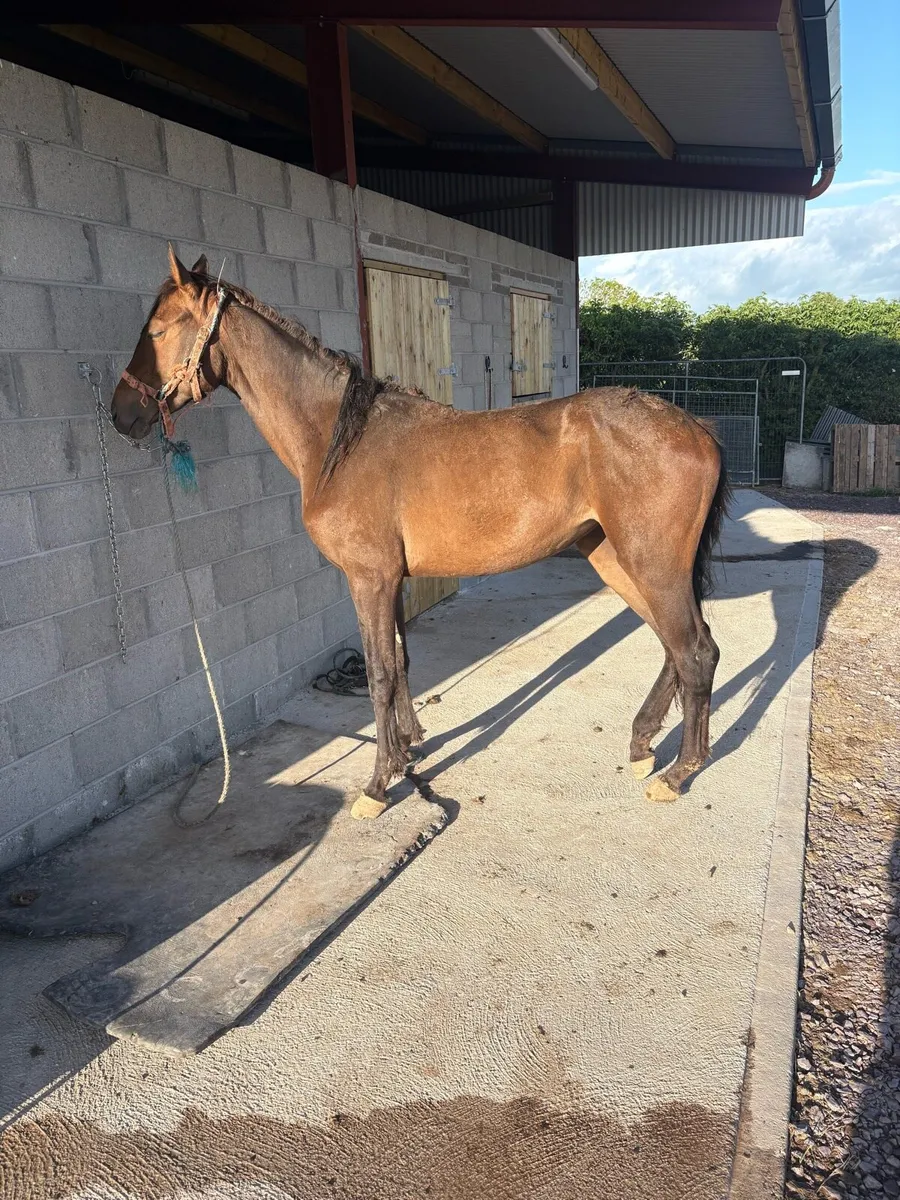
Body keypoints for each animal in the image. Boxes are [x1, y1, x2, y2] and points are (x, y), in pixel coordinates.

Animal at [111, 247, 728, 820]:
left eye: (158, 330)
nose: (122, 415)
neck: (339, 441)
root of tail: (696, 427)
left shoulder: (369, 578)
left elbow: (380, 674)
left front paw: (377, 785)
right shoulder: (392, 580)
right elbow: (402, 662)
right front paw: (408, 749)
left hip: (651, 563)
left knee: (695, 651)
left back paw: (677, 774)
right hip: (613, 558)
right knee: (673, 646)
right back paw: (643, 746)